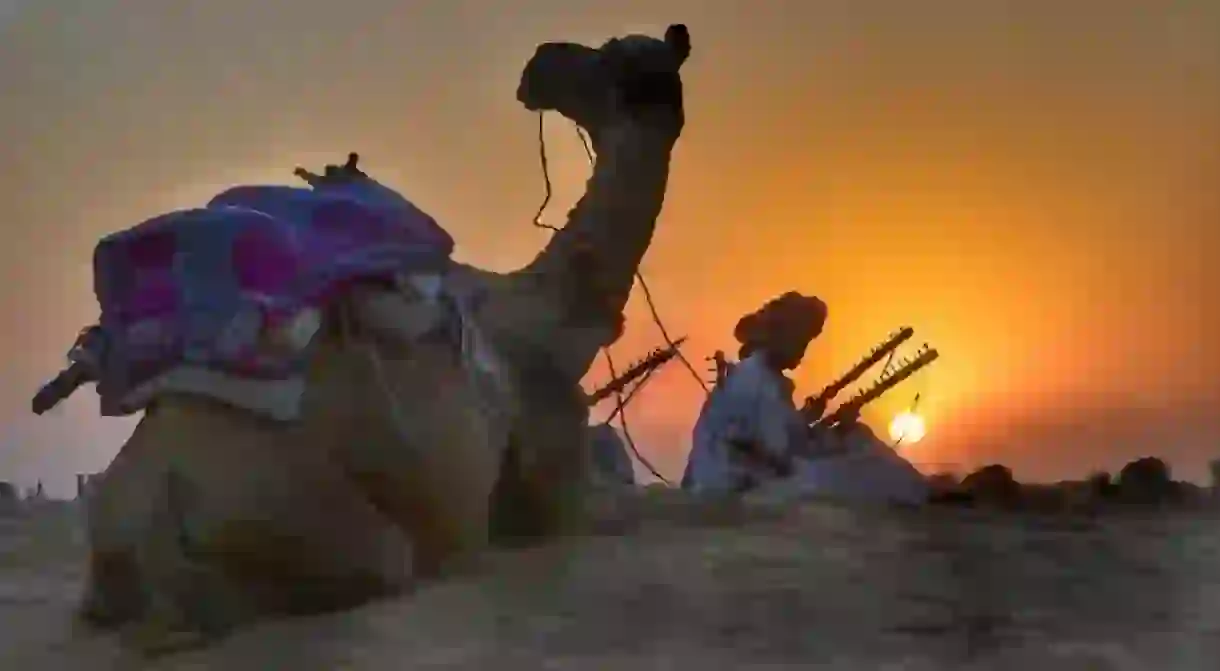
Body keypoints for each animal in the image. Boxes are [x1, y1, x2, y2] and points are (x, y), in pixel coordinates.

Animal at [71, 25, 692, 649]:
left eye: (615, 55)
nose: (541, 62)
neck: (548, 318)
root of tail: (146, 521)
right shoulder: (556, 479)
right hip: (338, 534)